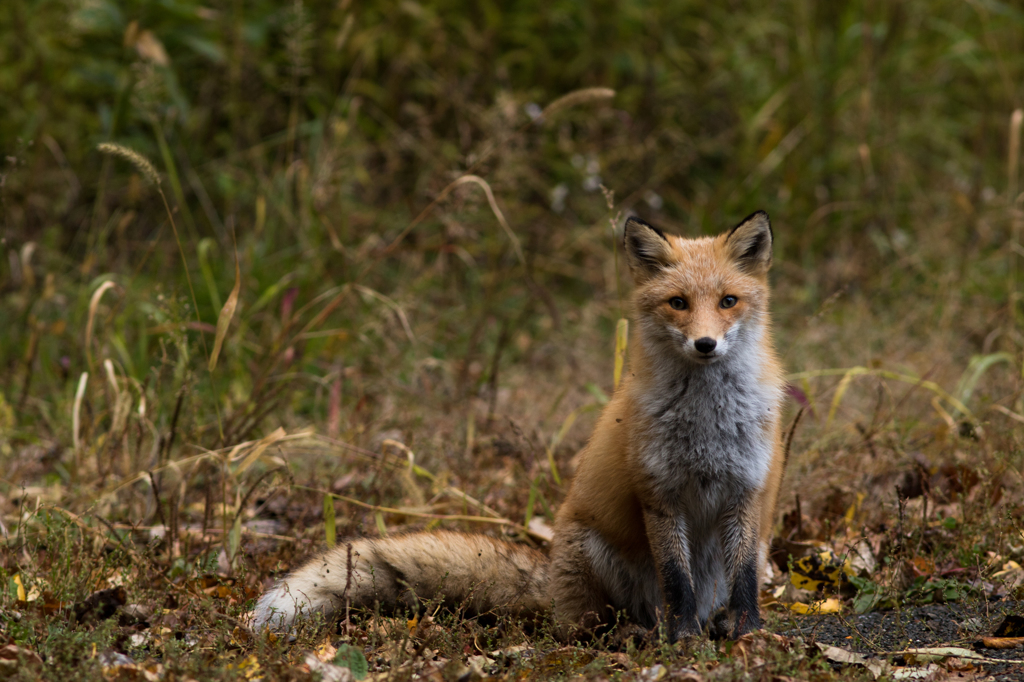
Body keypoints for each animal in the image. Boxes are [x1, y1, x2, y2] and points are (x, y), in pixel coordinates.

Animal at [247, 209, 782, 638]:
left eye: (728, 301)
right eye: (678, 303)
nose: (706, 344)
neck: (707, 423)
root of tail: (550, 584)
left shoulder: (746, 491)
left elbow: (744, 583)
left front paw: (747, 634)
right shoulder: (660, 495)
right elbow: (676, 582)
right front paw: (684, 638)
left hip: (750, 545)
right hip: (593, 558)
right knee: (587, 628)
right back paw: (636, 634)